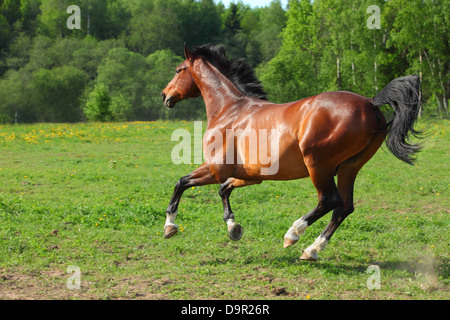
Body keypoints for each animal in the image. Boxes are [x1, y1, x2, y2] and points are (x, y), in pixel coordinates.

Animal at [160, 43, 420, 262]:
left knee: (329, 200)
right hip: (350, 167)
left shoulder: (216, 169)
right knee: (344, 207)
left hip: (318, 165)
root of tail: (371, 102)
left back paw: (293, 234)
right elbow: (224, 190)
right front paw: (233, 227)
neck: (230, 109)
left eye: (179, 69)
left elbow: (181, 182)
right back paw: (312, 250)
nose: (165, 95)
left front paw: (169, 226)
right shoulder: (250, 175)